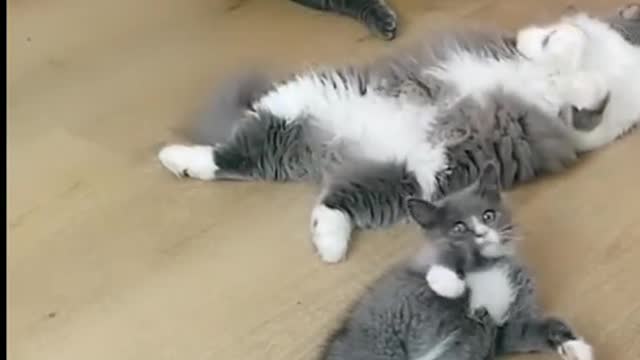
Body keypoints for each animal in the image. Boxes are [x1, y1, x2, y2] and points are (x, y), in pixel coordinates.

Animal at [159, 4, 640, 262]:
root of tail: (332, 153)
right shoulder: (558, 59)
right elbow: (566, 39)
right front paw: (559, 59)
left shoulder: (588, 128)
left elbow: (584, 80)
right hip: (300, 103)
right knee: (228, 152)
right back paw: (175, 158)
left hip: (401, 181)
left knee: (324, 200)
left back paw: (327, 244)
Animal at [320, 163, 596, 360]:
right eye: (459, 227)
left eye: (488, 215)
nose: (481, 233)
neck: (487, 266)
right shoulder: (419, 270)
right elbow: (438, 262)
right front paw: (452, 284)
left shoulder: (505, 330)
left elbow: (530, 330)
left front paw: (575, 346)